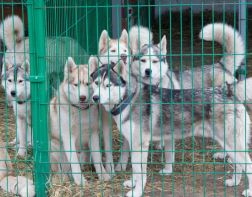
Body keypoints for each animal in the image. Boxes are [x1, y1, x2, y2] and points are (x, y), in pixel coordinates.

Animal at [49, 56, 112, 185]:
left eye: (88, 83)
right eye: (76, 84)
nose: (82, 97)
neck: (81, 112)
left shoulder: (93, 134)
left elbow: (97, 157)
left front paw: (103, 175)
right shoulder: (68, 137)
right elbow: (74, 162)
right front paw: (80, 180)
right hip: (55, 148)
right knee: (60, 168)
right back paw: (63, 176)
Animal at [91, 60, 252, 196]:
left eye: (108, 85)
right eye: (96, 83)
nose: (95, 98)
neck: (129, 99)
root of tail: (228, 91)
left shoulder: (140, 145)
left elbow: (140, 172)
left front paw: (136, 192)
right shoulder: (134, 145)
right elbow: (136, 171)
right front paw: (133, 183)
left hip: (232, 145)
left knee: (248, 165)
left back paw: (248, 191)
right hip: (229, 146)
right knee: (239, 165)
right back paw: (234, 182)